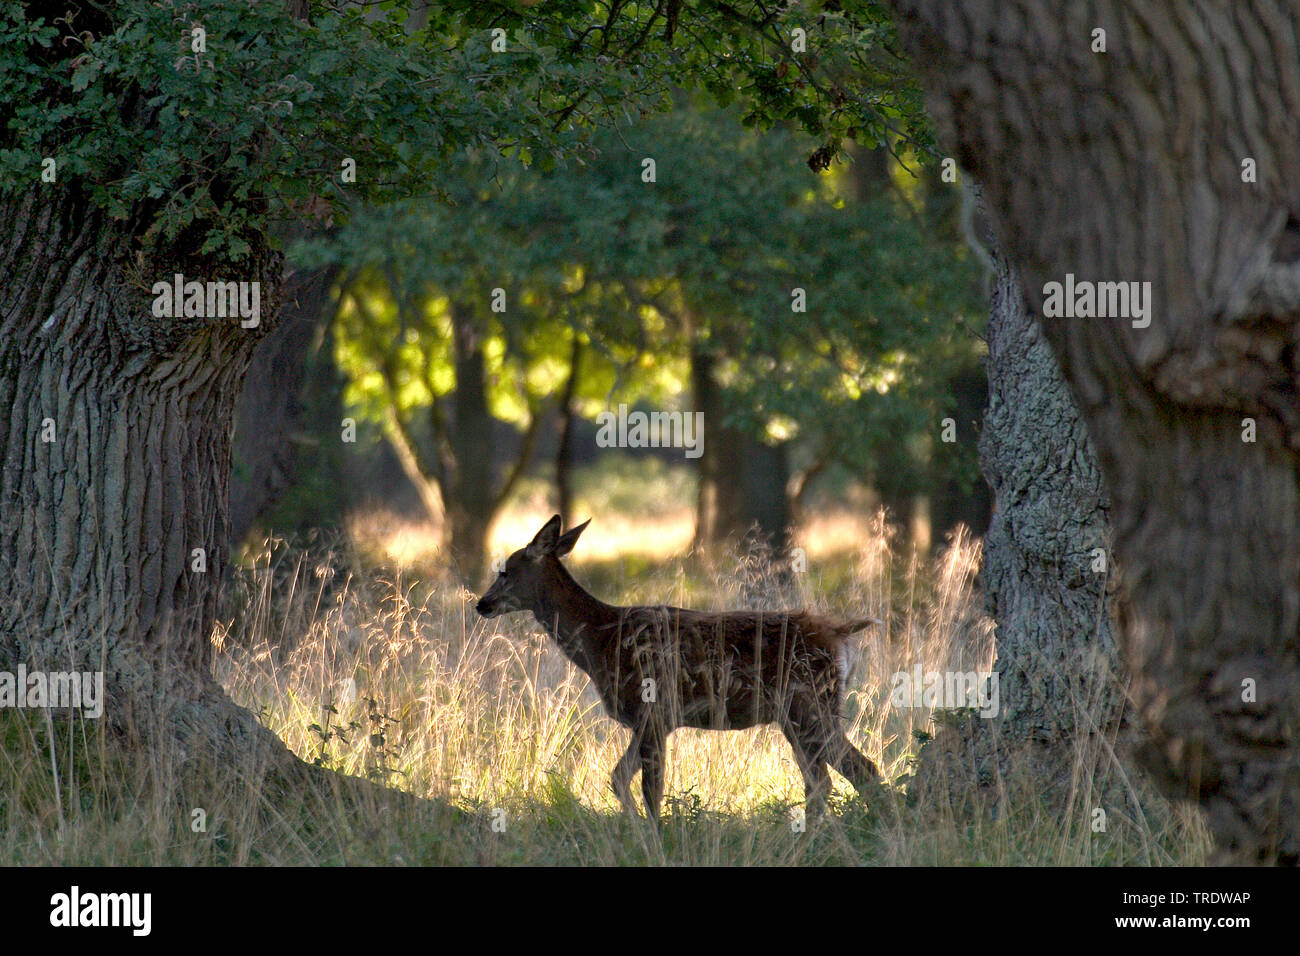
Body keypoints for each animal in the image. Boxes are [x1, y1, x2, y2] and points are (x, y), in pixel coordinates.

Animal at [478, 515, 883, 822]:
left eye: (505, 570)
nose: (482, 603)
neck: (601, 638)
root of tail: (840, 632)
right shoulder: (652, 719)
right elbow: (618, 778)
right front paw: (636, 828)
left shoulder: (653, 710)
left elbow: (649, 789)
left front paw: (655, 834)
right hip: (798, 714)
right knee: (825, 781)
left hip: (809, 704)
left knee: (857, 771)